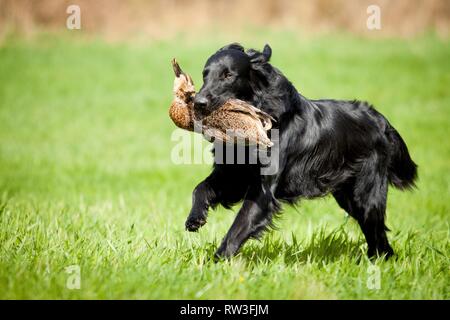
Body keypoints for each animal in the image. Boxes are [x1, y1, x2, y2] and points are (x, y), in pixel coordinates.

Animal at [185, 43, 416, 260]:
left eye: (228, 75)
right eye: (205, 74)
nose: (198, 103)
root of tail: (379, 119)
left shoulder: (262, 192)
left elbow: (237, 229)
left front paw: (216, 262)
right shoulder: (233, 176)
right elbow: (199, 188)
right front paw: (195, 218)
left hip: (366, 197)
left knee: (379, 235)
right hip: (348, 196)